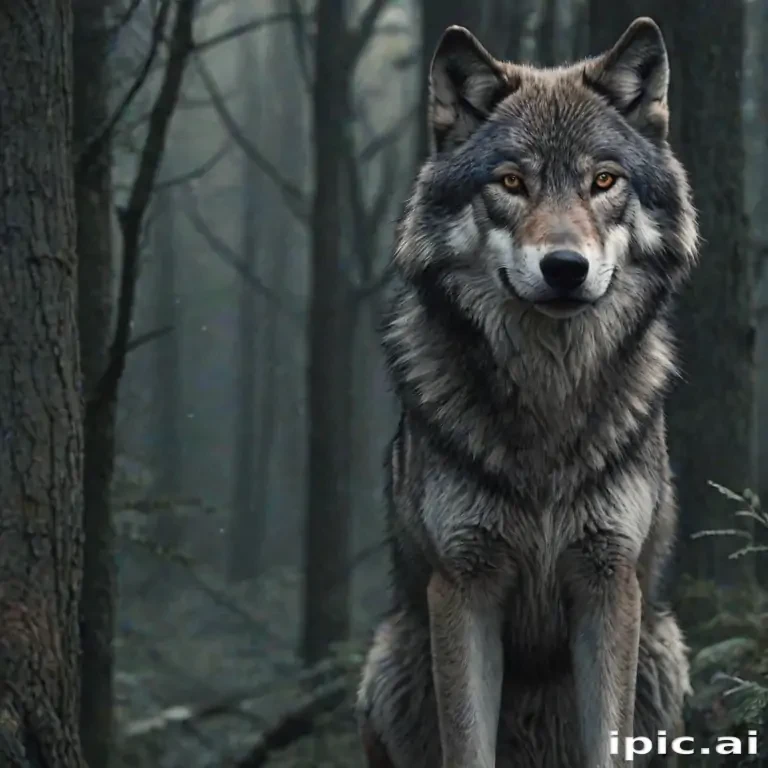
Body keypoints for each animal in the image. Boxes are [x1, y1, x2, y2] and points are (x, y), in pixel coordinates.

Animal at [356, 16, 698, 768]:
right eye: (512, 181)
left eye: (604, 180)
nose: (565, 267)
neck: (550, 399)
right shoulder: (465, 586)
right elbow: (466, 744)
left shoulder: (608, 584)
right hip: (393, 656)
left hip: (662, 654)